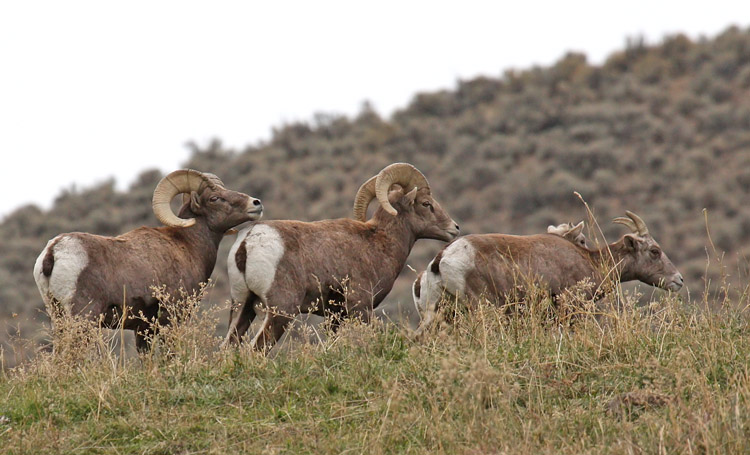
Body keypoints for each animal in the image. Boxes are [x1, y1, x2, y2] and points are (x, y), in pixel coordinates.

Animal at [34, 169, 264, 350]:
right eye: (214, 198)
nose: (256, 203)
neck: (187, 245)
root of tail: (54, 252)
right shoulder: (172, 316)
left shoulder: (142, 329)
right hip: (83, 319)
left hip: (58, 318)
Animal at [225, 164, 458, 352]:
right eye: (426, 204)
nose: (454, 228)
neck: (379, 243)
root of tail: (248, 242)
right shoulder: (361, 308)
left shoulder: (333, 316)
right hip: (280, 312)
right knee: (257, 349)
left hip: (242, 307)